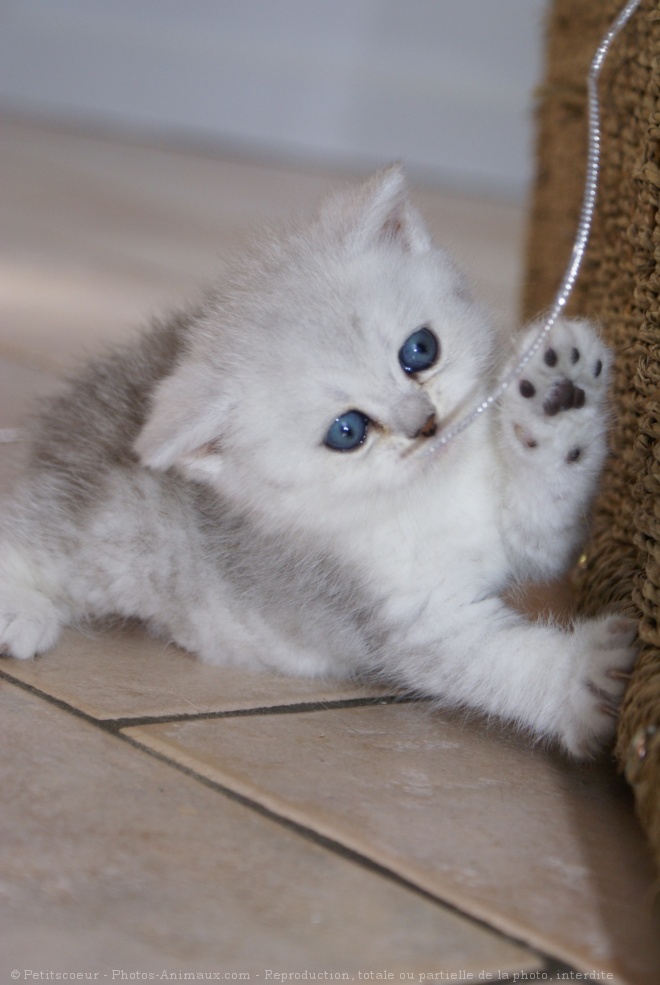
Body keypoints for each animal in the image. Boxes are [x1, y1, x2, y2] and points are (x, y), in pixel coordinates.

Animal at [0, 167, 640, 752]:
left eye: (420, 350)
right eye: (347, 431)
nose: (423, 424)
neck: (429, 492)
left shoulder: (534, 539)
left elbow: (549, 506)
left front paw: (560, 396)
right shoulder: (413, 623)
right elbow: (501, 664)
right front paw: (585, 680)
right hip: (103, 532)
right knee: (29, 535)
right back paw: (21, 615)